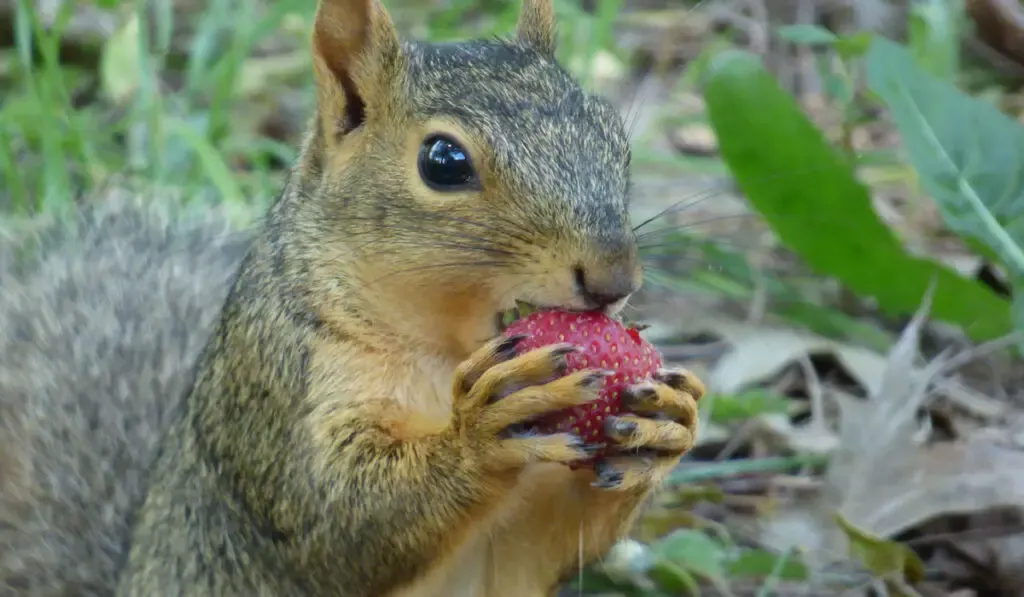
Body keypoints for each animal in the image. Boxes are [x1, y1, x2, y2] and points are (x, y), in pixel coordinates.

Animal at [0, 1, 704, 597]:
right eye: (443, 161)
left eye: (616, 139)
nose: (615, 278)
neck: (445, 351)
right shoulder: (279, 387)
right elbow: (334, 523)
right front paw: (477, 432)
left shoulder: (518, 545)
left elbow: (548, 544)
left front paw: (665, 423)